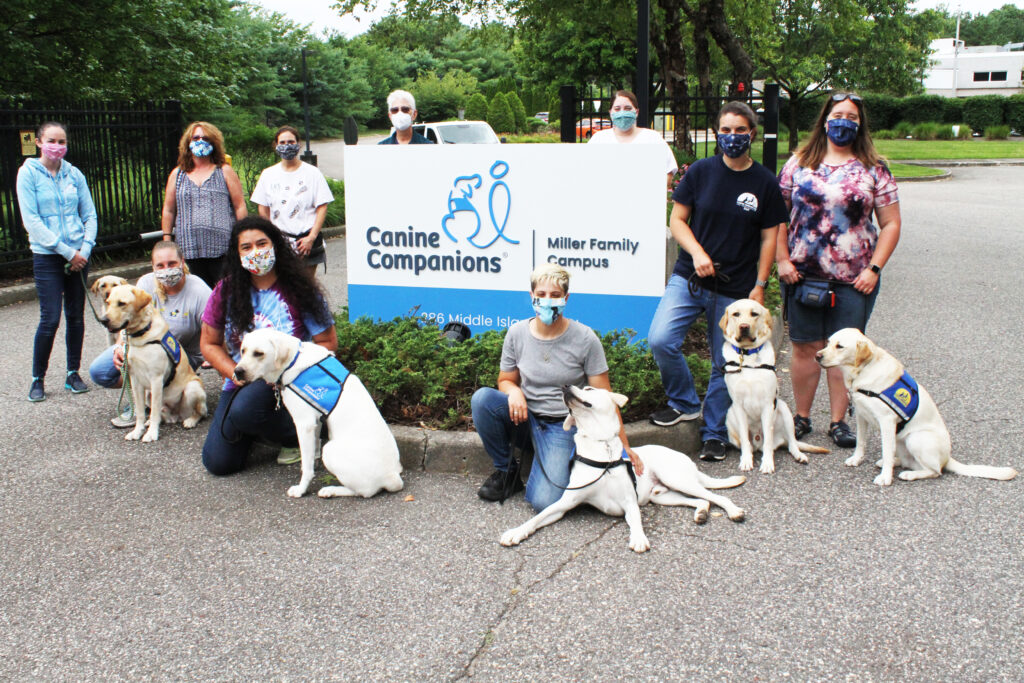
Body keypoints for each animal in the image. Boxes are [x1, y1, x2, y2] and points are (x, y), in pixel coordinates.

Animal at [100, 282, 206, 444]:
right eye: (108, 302)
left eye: (122, 303)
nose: (103, 320)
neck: (141, 333)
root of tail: (175, 416)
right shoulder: (135, 380)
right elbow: (140, 411)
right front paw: (137, 431)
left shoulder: (156, 379)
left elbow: (154, 411)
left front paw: (151, 433)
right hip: (148, 393)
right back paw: (150, 422)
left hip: (192, 387)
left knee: (200, 412)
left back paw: (190, 420)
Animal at [232, 327, 403, 499]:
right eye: (243, 350)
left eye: (259, 353)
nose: (237, 371)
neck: (293, 361)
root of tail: (392, 477)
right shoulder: (316, 422)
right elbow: (311, 453)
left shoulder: (304, 424)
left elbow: (307, 467)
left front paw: (301, 489)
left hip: (330, 450)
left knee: (364, 492)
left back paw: (331, 490)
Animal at [501, 387, 749, 552]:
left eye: (588, 387)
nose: (564, 386)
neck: (600, 442)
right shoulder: (565, 503)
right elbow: (538, 517)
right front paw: (515, 532)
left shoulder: (629, 502)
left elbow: (636, 520)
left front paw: (638, 538)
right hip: (663, 495)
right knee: (702, 500)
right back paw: (701, 513)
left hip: (677, 479)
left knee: (716, 496)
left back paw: (734, 511)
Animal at [720, 301, 831, 473]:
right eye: (736, 314)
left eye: (754, 314)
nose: (744, 326)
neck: (748, 356)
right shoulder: (738, 405)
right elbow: (745, 439)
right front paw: (746, 461)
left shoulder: (768, 404)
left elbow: (768, 439)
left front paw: (767, 463)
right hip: (730, 415)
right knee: (750, 444)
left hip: (785, 411)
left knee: (790, 443)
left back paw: (799, 455)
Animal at [815, 329, 1015, 485]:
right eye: (828, 342)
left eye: (840, 346)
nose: (817, 356)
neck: (862, 372)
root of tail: (948, 458)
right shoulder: (861, 416)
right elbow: (861, 443)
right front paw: (856, 460)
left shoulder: (887, 421)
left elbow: (886, 449)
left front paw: (885, 478)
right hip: (901, 440)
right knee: (907, 460)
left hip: (916, 438)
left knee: (935, 471)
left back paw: (909, 474)